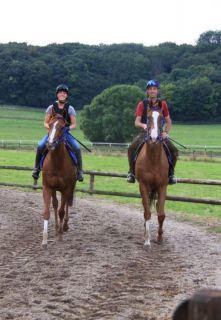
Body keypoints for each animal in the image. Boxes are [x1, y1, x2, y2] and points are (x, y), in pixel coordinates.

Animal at [41, 115, 77, 248]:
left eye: (62, 127)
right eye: (50, 125)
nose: (50, 143)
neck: (57, 162)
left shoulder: (66, 188)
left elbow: (62, 211)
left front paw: (60, 236)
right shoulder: (47, 187)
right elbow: (47, 211)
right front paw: (45, 240)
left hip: (69, 188)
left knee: (65, 204)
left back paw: (64, 227)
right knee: (56, 204)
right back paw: (57, 229)